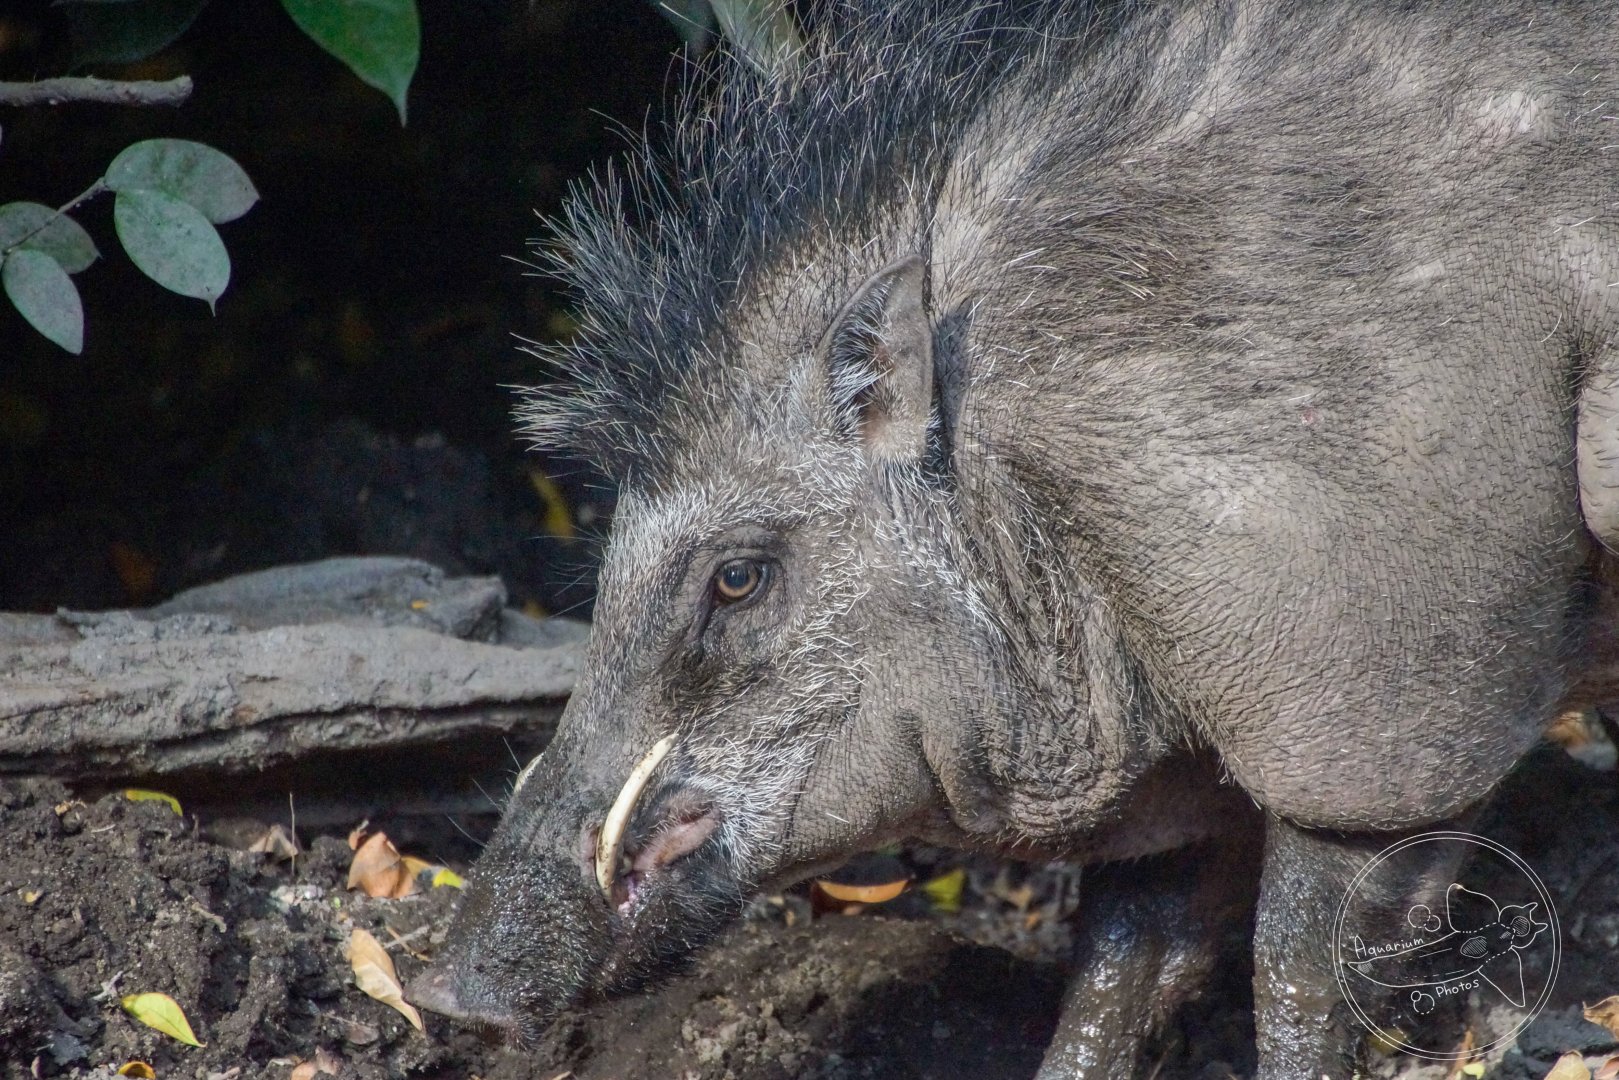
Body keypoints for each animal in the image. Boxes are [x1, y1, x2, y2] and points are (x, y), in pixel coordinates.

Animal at [406, 0, 1619, 1075]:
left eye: (739, 578)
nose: (449, 996)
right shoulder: (1181, 772)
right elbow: (1121, 964)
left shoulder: (1382, 730)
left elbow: (1298, 974)